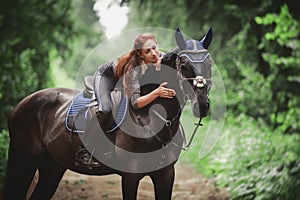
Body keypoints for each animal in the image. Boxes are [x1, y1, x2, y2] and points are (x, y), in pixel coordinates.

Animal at [2, 27, 213, 199]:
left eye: (209, 63)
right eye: (183, 64)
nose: (202, 104)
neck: (152, 119)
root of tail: (21, 105)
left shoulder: (166, 175)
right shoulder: (130, 176)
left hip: (52, 167)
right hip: (24, 161)